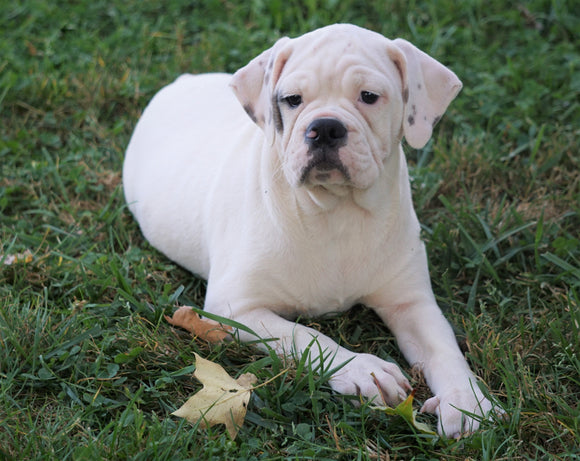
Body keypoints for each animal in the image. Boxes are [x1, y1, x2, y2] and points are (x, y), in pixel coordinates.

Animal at [122, 24, 494, 434]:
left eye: (369, 96)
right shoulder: (235, 309)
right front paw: (364, 371)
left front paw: (465, 402)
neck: (336, 212)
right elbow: (307, 337)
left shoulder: (410, 301)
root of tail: (184, 80)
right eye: (292, 100)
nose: (326, 128)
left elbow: (444, 348)